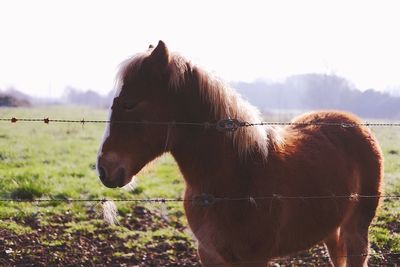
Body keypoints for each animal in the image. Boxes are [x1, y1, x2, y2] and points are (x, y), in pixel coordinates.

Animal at [97, 40, 384, 266]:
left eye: (130, 104)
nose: (103, 169)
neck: (233, 176)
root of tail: (353, 122)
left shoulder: (254, 258)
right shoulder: (209, 255)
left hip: (357, 228)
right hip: (331, 227)